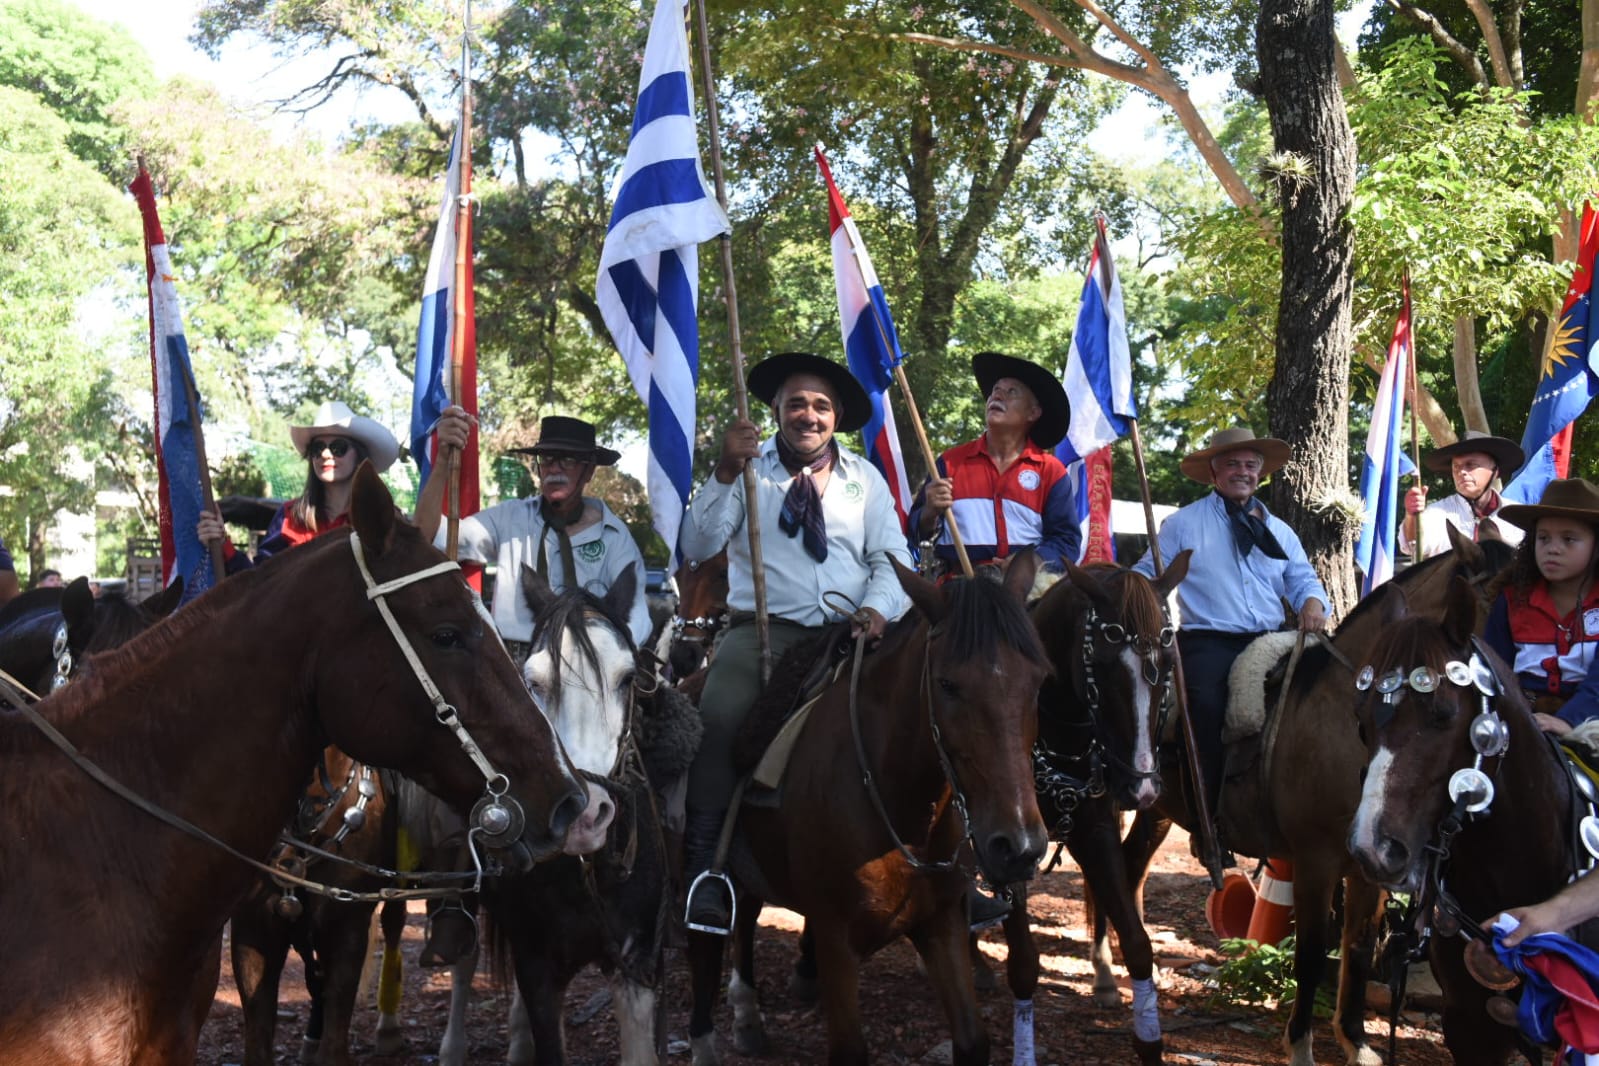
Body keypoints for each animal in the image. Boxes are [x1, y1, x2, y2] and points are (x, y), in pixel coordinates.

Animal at [433, 561, 698, 1066]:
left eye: (628, 678)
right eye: (532, 682)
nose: (585, 816)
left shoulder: (636, 966)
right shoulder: (539, 968)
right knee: (464, 960)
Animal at [687, 555, 1050, 1066]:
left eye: (1039, 681)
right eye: (948, 684)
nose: (1017, 846)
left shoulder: (940, 924)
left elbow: (973, 1040)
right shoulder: (836, 939)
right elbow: (850, 1050)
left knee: (746, 916)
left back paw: (747, 1015)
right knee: (705, 933)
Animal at [1083, 525, 1515, 1066]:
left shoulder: (1370, 867)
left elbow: (1358, 946)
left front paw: (1356, 1041)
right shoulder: (1316, 860)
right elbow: (1310, 953)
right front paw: (1301, 1046)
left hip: (1156, 808)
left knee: (1130, 866)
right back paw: (1103, 969)